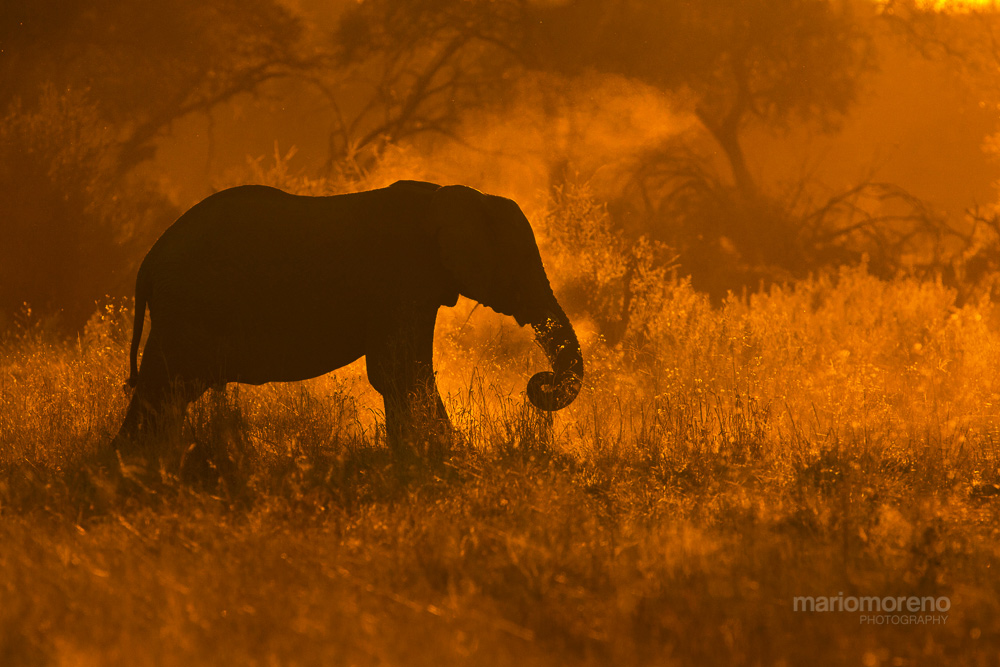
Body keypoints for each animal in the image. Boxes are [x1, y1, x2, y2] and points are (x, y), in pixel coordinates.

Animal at [115, 180, 584, 446]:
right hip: (186, 310)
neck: (446, 194)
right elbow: (400, 371)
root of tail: (148, 263)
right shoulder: (402, 280)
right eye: (519, 266)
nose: (540, 383)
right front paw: (450, 453)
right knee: (165, 387)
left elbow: (398, 374)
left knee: (167, 392)